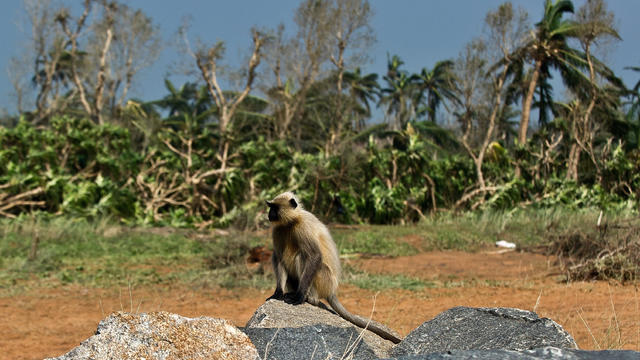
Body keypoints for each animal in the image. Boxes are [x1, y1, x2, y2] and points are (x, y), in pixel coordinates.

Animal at [264, 191, 400, 344]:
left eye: (274, 208)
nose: (269, 214)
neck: (291, 222)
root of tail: (332, 290)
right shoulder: (278, 230)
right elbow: (278, 258)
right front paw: (278, 293)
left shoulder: (303, 225)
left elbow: (315, 256)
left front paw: (299, 296)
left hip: (325, 279)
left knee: (302, 256)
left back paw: (309, 298)